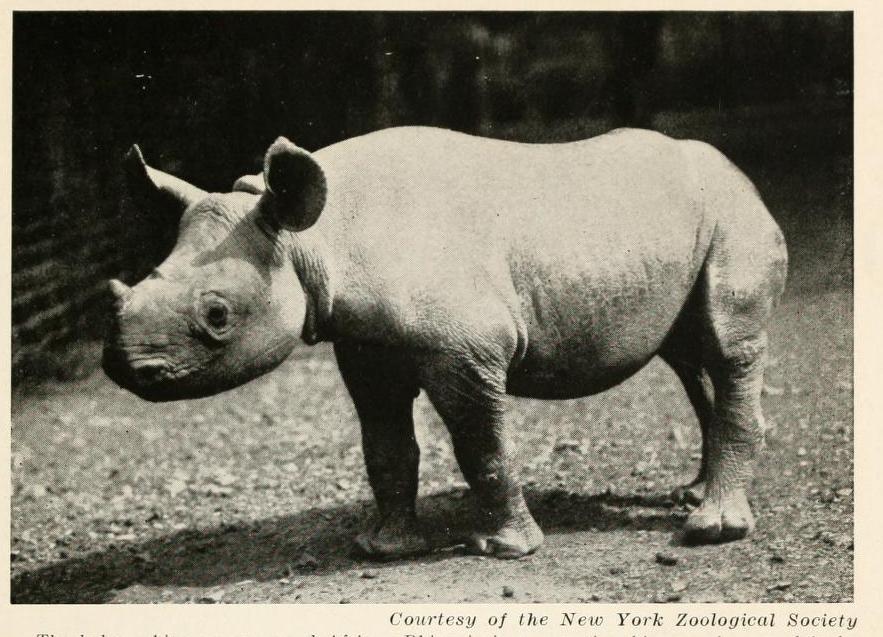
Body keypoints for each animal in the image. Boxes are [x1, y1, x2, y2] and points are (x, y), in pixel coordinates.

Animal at [103, 126, 787, 559]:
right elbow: (385, 446)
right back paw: (692, 494)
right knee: (689, 357)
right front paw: (381, 549)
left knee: (728, 348)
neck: (312, 239)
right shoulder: (366, 346)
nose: (126, 367)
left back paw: (710, 530)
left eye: (217, 315)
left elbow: (480, 444)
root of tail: (739, 172)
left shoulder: (466, 350)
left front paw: (504, 550)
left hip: (735, 218)